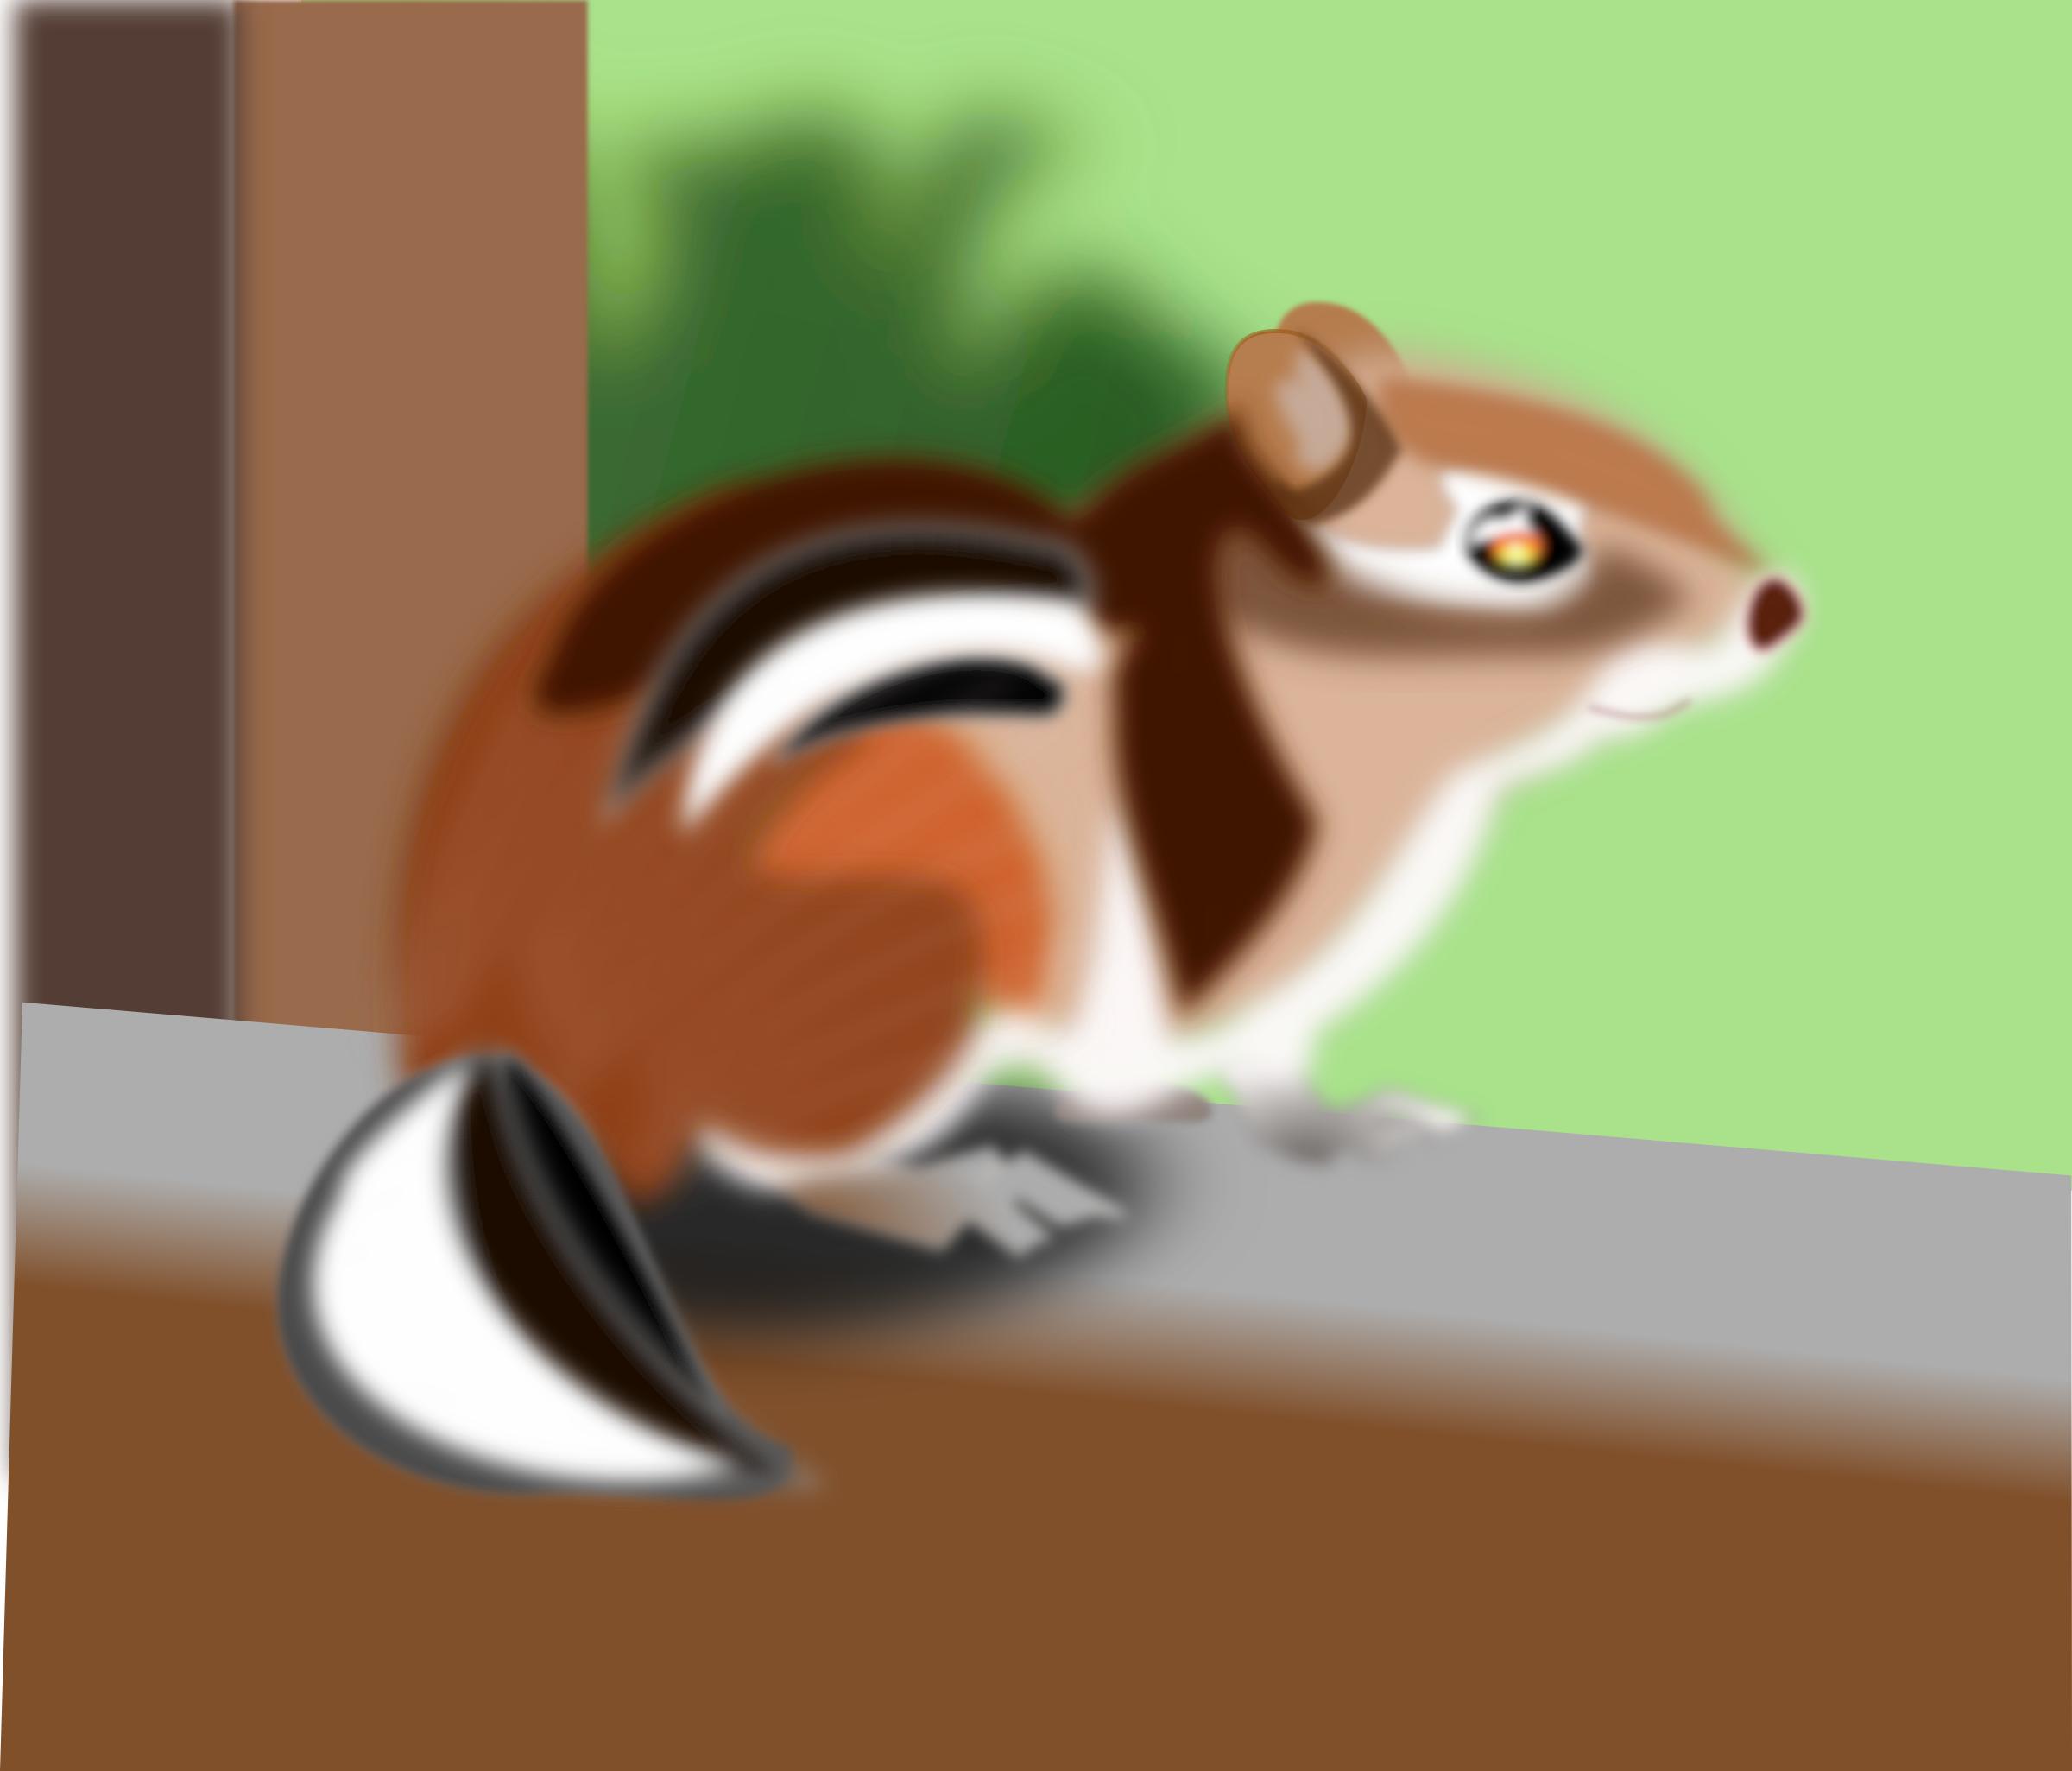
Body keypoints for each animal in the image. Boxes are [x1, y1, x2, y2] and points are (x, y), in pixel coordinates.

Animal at [277, 301, 1807, 1497]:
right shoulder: (1217, 949)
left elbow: (1282, 1077)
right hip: (903, 970)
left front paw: (1348, 1128)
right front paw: (1180, 1116)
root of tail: (498, 1024)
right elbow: (1186, 1058)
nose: (1778, 603)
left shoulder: (1287, 984)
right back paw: (959, 1190)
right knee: (776, 1157)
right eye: (1516, 545)